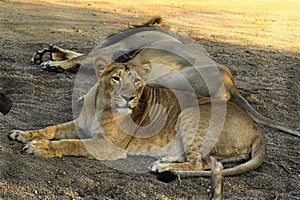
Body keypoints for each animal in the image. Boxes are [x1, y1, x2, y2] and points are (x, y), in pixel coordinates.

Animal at [8, 62, 264, 177]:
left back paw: (164, 166)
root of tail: (258, 131)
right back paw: (163, 160)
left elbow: (70, 144)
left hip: (190, 114)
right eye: (116, 78)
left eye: (137, 82)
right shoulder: (79, 125)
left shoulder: (109, 146)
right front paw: (23, 134)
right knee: (200, 158)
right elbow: (51, 129)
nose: (128, 97)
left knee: (200, 163)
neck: (100, 104)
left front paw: (39, 148)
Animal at [31, 17, 300, 138]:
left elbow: (81, 57)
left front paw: (53, 62)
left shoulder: (109, 52)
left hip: (170, 80)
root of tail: (231, 85)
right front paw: (49, 52)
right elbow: (78, 54)